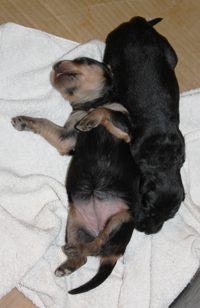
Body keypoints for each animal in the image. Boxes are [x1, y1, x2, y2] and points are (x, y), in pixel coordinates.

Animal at [11, 57, 140, 294]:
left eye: (84, 61)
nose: (56, 65)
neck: (87, 105)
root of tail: (116, 253)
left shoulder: (125, 127)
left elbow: (106, 112)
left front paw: (91, 120)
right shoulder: (66, 138)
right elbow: (44, 122)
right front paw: (24, 120)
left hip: (122, 218)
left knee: (97, 245)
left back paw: (74, 252)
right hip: (74, 222)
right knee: (87, 255)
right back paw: (68, 263)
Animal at [101, 16, 186, 233]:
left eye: (169, 217)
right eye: (148, 207)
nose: (148, 231)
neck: (163, 159)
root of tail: (136, 22)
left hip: (169, 52)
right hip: (112, 46)